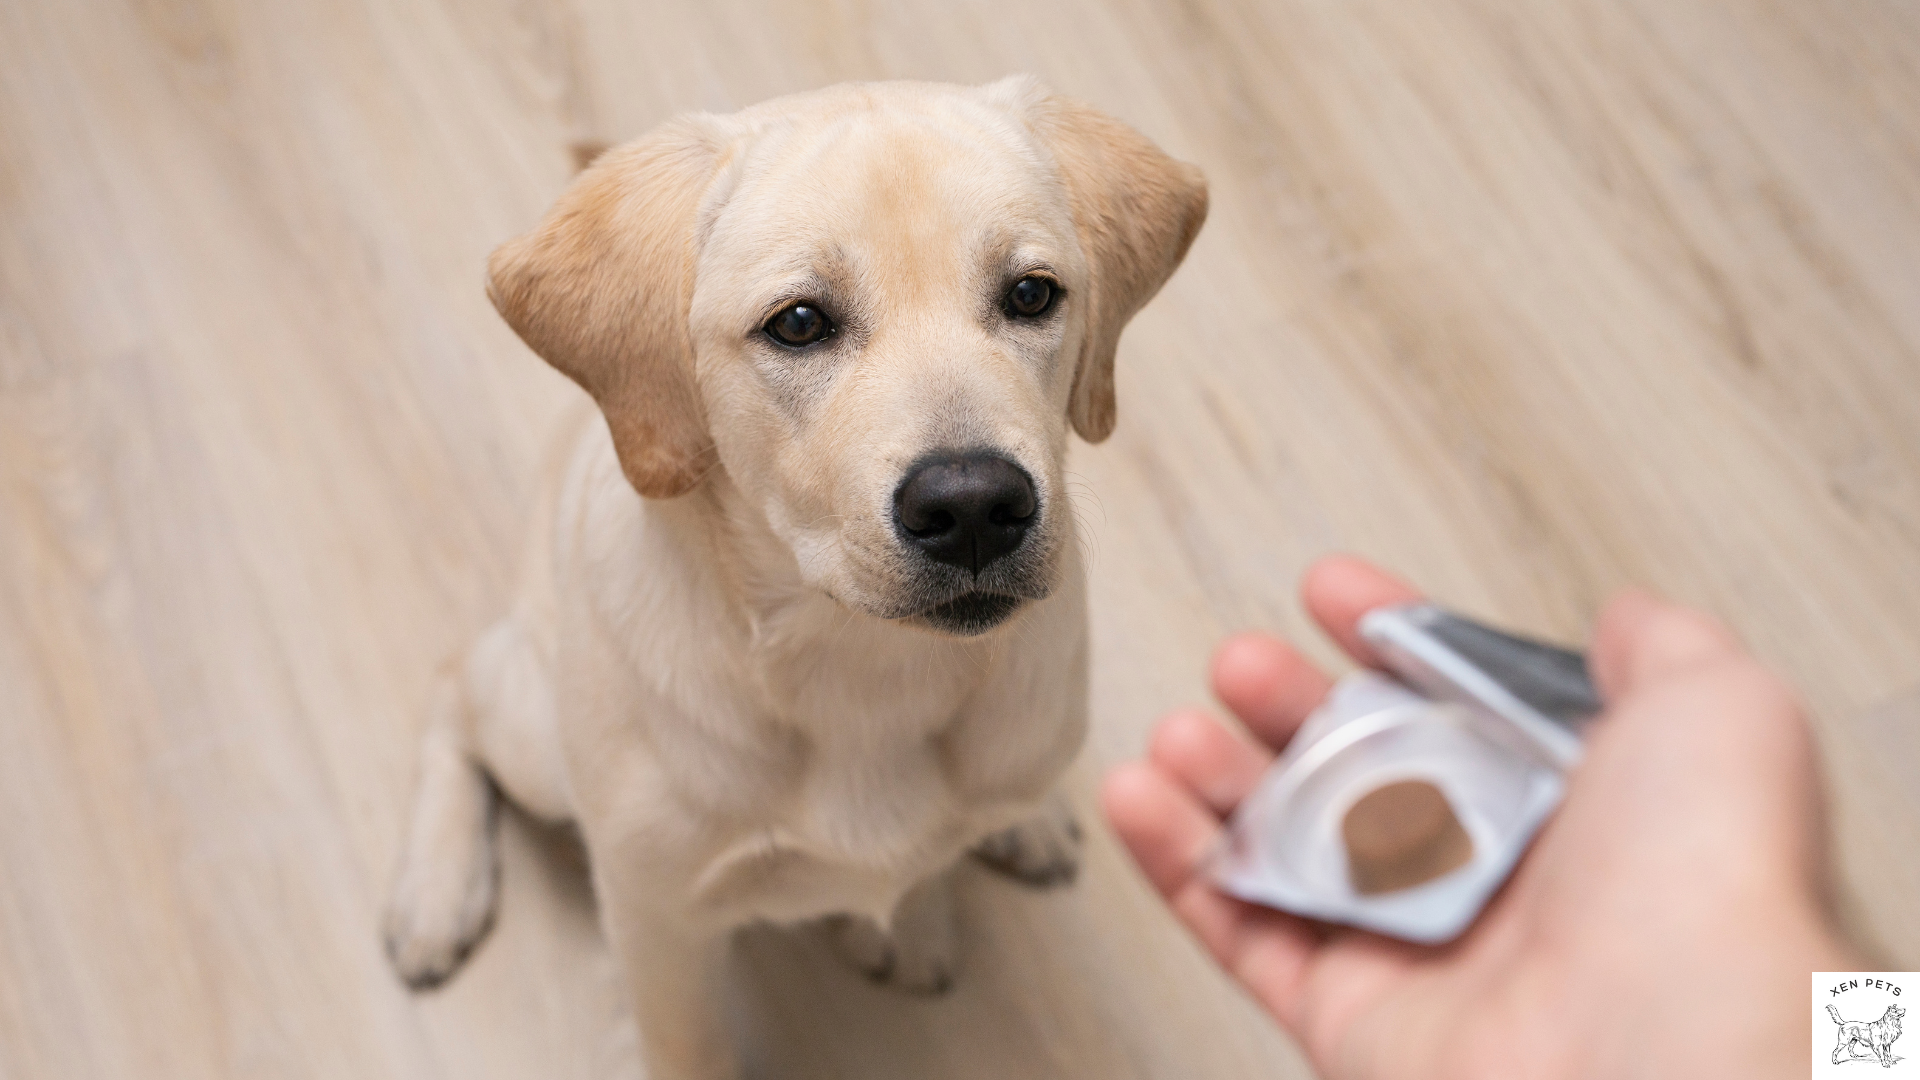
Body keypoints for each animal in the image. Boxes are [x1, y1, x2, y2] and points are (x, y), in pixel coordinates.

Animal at [384, 77, 1205, 1076]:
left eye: (1031, 294)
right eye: (800, 323)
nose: (975, 506)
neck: (862, 666)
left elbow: (923, 863)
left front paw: (914, 919)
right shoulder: (658, 925)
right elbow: (689, 1050)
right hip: (534, 729)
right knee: (453, 685)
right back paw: (436, 892)